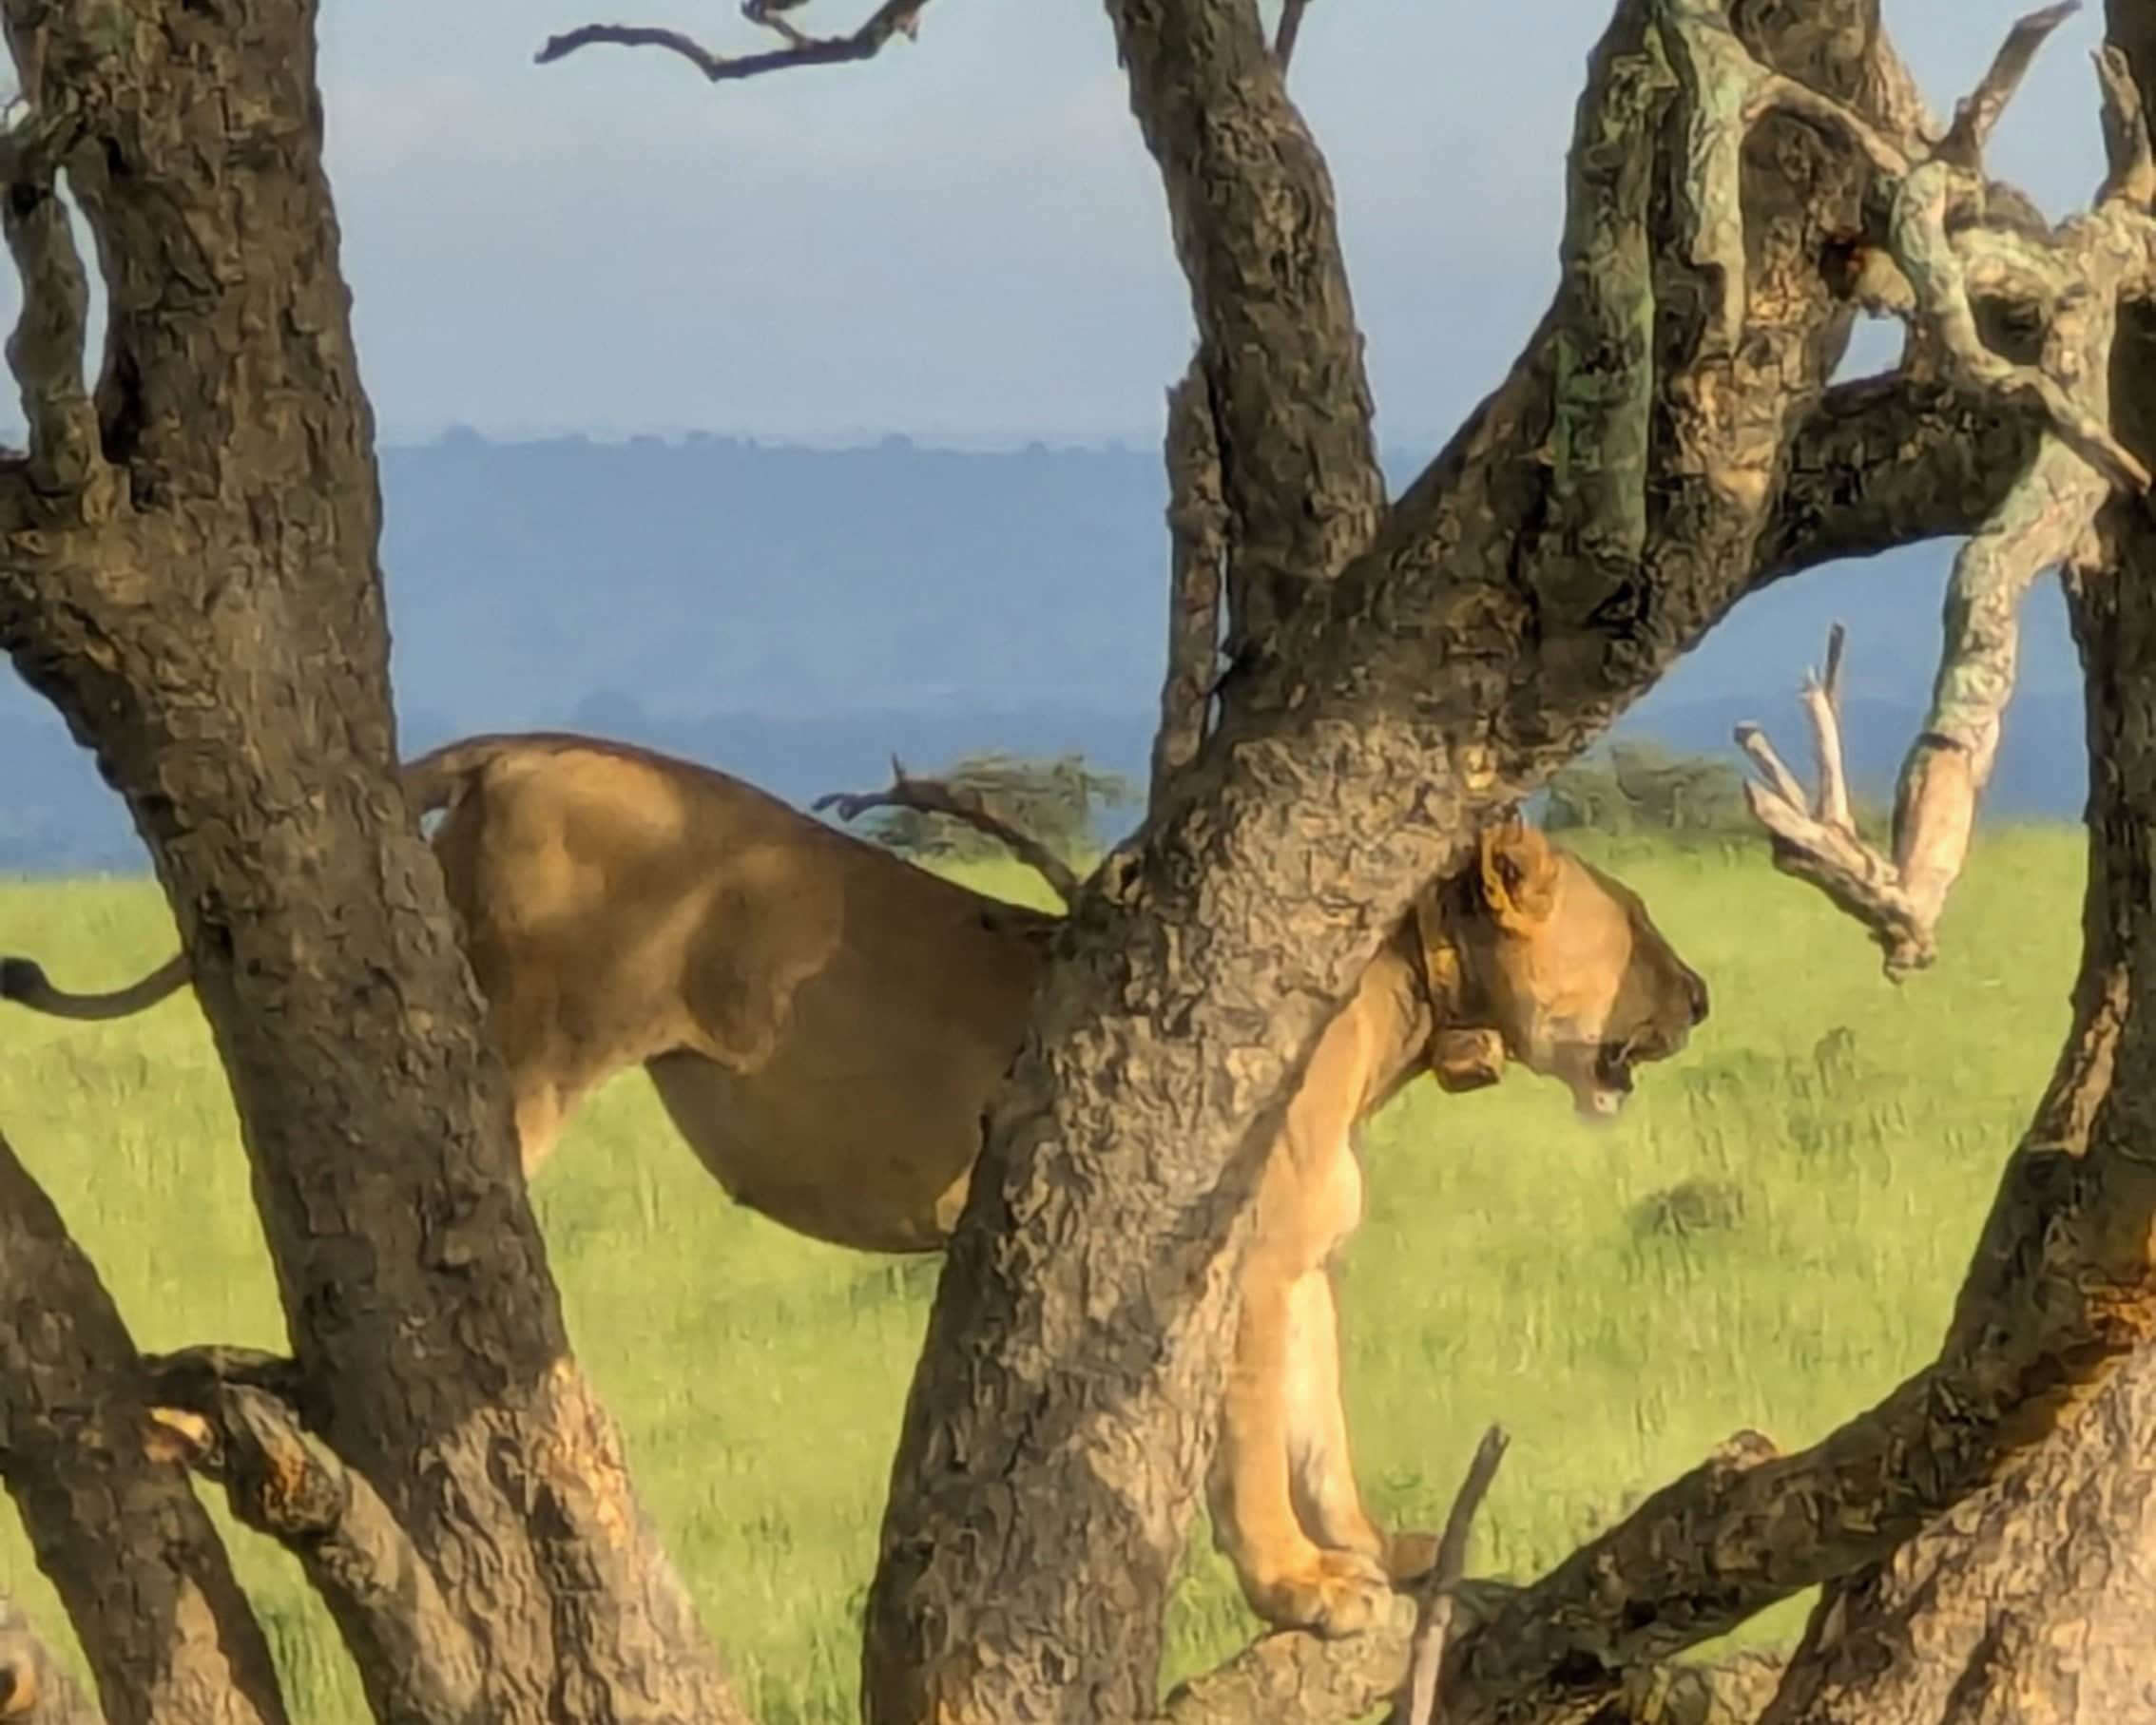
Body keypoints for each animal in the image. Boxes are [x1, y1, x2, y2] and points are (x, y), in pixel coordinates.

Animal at [2, 732, 1709, 1635]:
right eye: (1635, 922)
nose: (1697, 994)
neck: (1401, 1013)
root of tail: (522, 742)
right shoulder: (1224, 1252)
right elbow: (1250, 1439)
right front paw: (1302, 1590)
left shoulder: (1302, 1267)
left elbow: (1319, 1420)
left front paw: (1380, 1555)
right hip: (525, 1041)